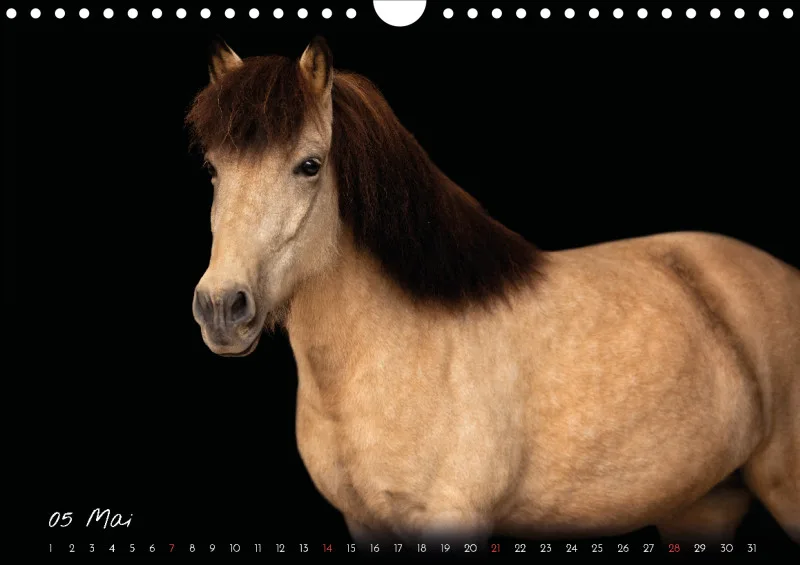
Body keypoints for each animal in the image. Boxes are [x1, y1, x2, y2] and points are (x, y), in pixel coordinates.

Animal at [187, 37, 800, 548]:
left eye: (309, 166)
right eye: (214, 171)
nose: (221, 308)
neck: (400, 348)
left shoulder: (451, 519)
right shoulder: (364, 524)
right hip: (704, 506)